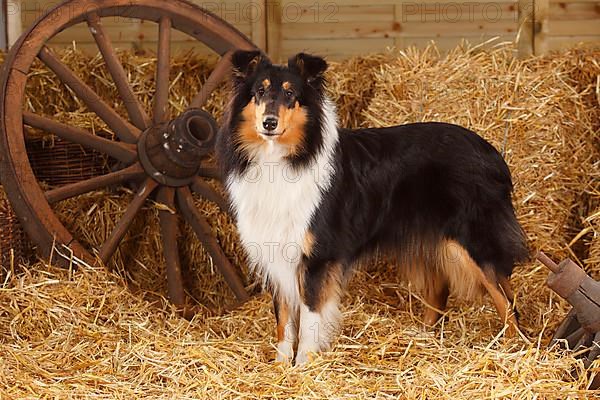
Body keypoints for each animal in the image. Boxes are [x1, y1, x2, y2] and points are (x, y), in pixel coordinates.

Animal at [218, 50, 528, 366]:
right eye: (260, 91)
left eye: (290, 93)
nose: (269, 123)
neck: (285, 158)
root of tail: (493, 153)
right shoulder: (276, 251)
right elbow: (283, 318)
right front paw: (281, 366)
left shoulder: (317, 258)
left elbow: (309, 317)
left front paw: (305, 363)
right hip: (428, 241)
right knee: (441, 293)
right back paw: (423, 341)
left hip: (472, 242)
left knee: (506, 299)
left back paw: (516, 350)